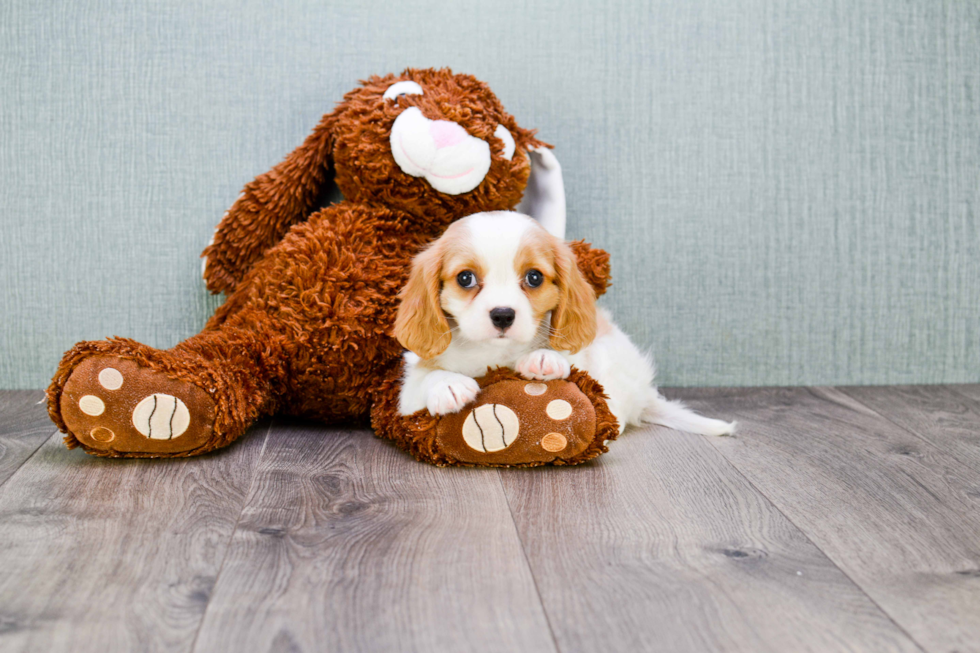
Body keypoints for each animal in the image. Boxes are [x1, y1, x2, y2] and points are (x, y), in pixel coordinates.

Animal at [390, 211, 736, 436]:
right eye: (465, 278)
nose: (502, 314)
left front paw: (545, 358)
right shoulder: (407, 399)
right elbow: (425, 378)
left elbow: (573, 361)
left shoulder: (588, 358)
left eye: (534, 277)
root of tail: (643, 394)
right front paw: (448, 384)